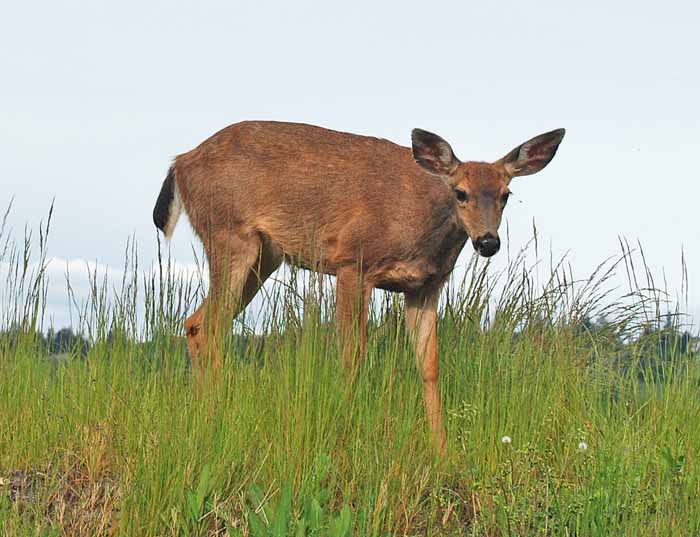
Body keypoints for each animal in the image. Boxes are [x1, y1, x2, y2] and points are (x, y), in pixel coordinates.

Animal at [153, 121, 564, 452]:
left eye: (506, 195)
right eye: (460, 192)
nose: (488, 242)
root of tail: (181, 163)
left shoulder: (424, 287)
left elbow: (430, 366)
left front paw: (442, 451)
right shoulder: (352, 262)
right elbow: (353, 357)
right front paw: (349, 434)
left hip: (265, 255)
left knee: (199, 323)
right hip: (230, 234)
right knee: (206, 325)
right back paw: (216, 414)